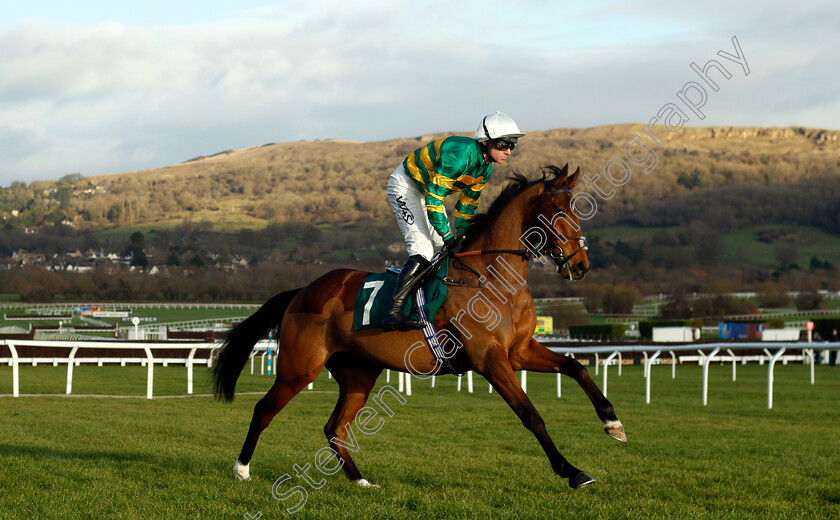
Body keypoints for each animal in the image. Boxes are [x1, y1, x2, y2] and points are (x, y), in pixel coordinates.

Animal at [213, 164, 628, 492]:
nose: (580, 265)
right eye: (557, 210)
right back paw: (241, 470)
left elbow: (576, 367)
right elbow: (532, 415)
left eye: (577, 210)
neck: (492, 276)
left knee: (334, 428)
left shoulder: (520, 351)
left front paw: (613, 423)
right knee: (264, 409)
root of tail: (303, 290)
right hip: (299, 368)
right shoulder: (490, 359)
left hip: (358, 374)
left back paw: (360, 480)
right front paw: (572, 471)